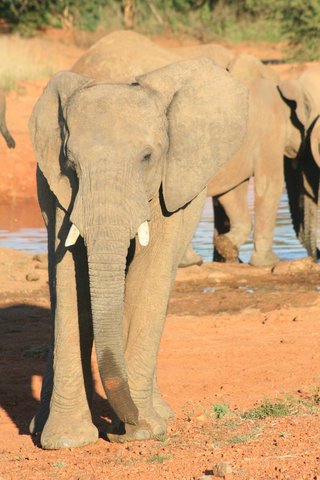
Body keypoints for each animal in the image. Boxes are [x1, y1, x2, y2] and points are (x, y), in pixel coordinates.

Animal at [30, 57, 249, 450]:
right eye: (71, 164)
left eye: (147, 157)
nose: (124, 426)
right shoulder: (59, 191)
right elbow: (70, 278)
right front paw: (68, 441)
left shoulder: (173, 181)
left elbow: (150, 275)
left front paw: (145, 431)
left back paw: (160, 413)